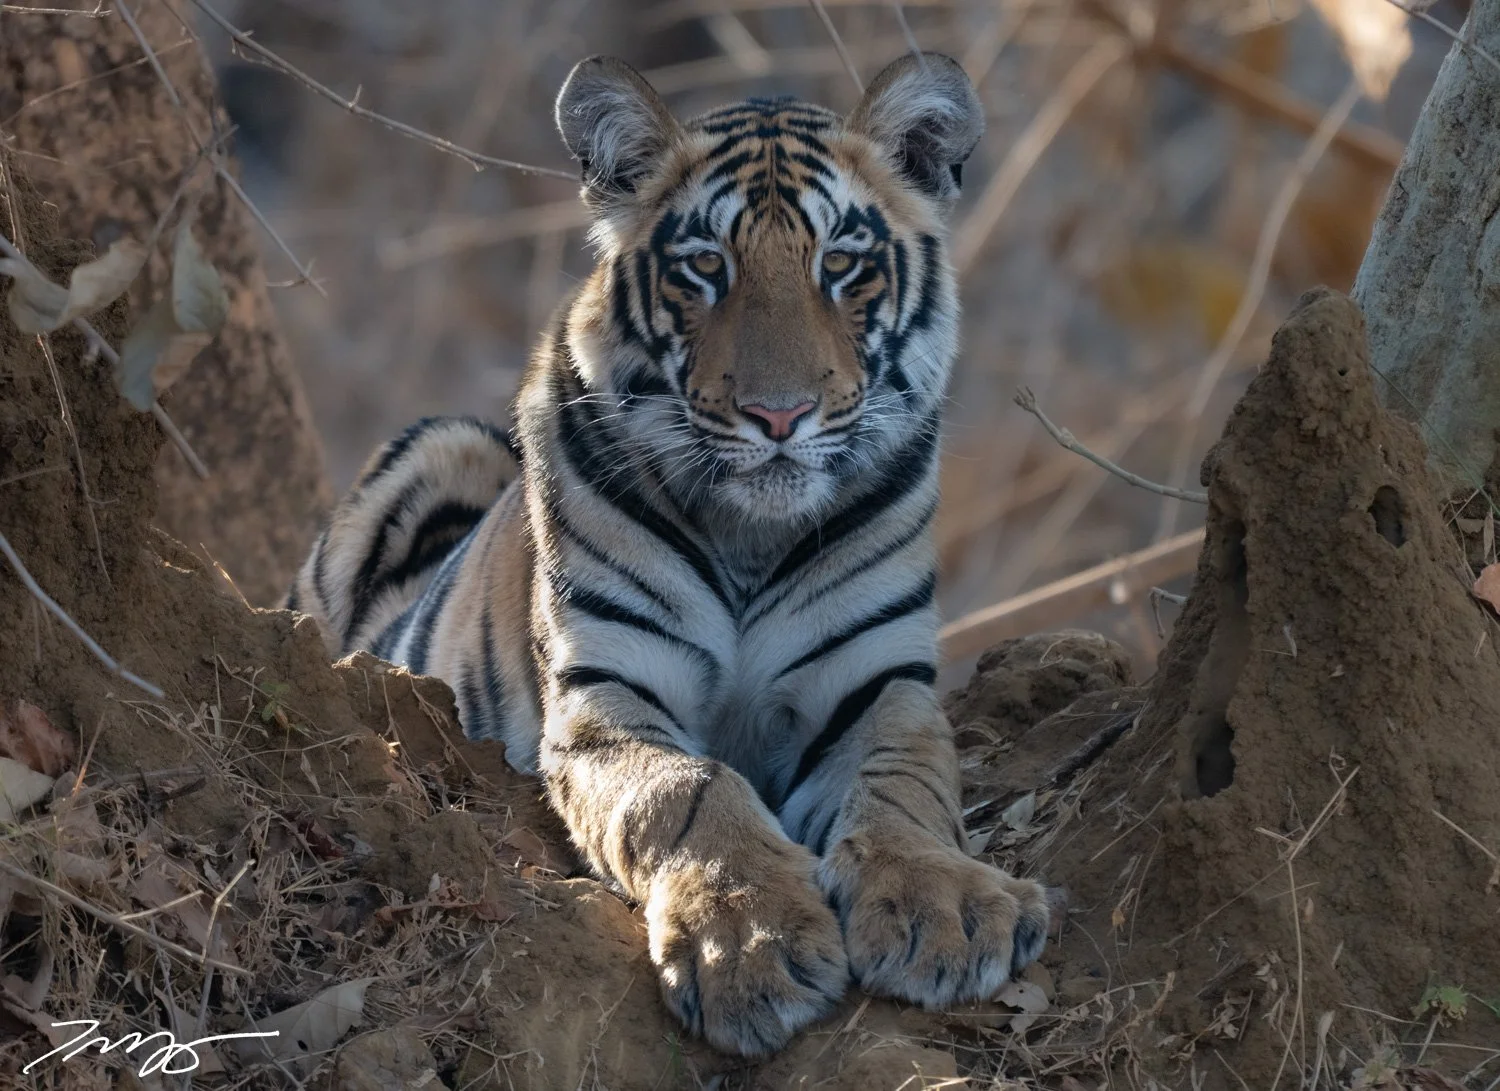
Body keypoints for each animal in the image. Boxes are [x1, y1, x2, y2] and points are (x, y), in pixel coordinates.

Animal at [289, 52, 1051, 1057]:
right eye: (706, 267)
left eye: (839, 264)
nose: (778, 415)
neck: (751, 535)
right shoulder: (604, 692)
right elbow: (689, 790)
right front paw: (752, 944)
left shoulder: (877, 683)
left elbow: (904, 782)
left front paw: (947, 911)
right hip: (442, 445)